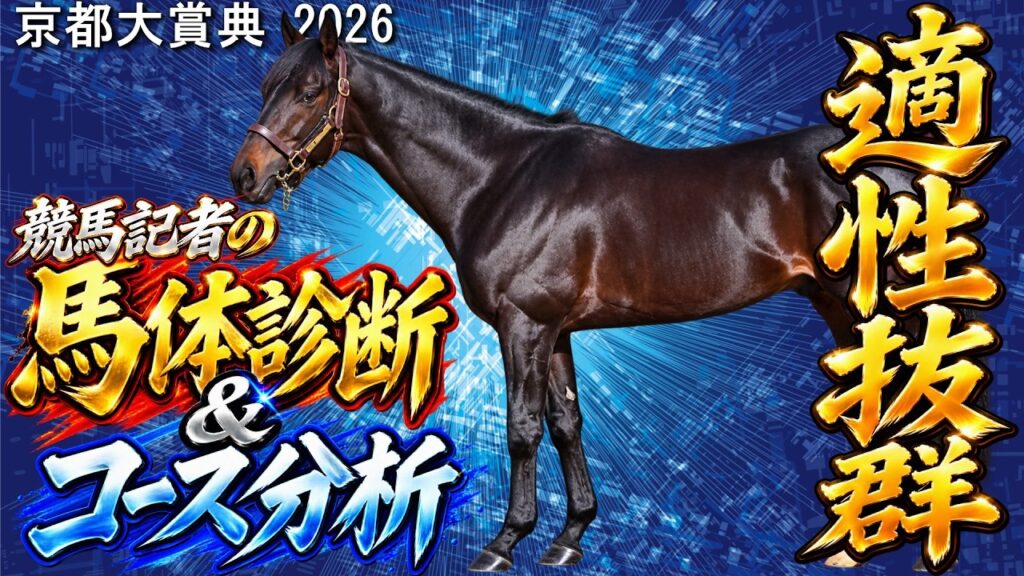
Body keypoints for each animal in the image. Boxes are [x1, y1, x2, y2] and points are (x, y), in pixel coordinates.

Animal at [230, 16, 914, 572]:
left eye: (311, 92)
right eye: (265, 86)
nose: (245, 175)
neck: (501, 176)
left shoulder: (524, 323)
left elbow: (522, 428)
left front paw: (504, 543)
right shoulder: (556, 331)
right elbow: (565, 424)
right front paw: (569, 537)